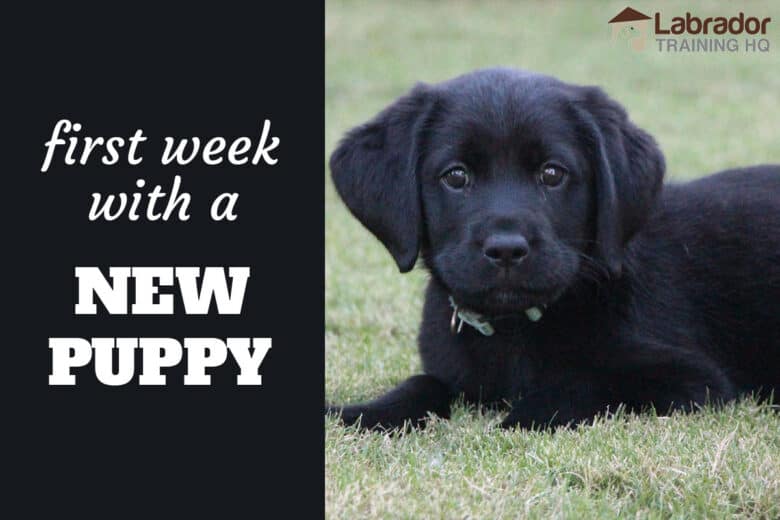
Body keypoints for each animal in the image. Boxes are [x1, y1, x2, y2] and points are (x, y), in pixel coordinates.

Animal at [326, 67, 776, 428]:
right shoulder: (452, 373)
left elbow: (586, 383)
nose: (506, 250)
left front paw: (519, 417)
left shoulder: (692, 377)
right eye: (455, 176)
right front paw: (360, 413)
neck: (513, 329)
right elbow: (420, 384)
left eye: (552, 173)